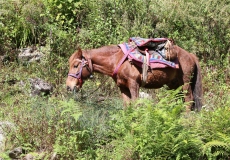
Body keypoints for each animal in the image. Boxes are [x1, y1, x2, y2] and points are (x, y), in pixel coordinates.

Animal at [65, 41, 202, 111]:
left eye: (75, 65)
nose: (68, 86)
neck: (117, 60)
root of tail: (190, 55)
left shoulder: (134, 85)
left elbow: (135, 105)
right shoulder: (123, 87)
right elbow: (127, 107)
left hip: (185, 83)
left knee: (189, 99)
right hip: (174, 85)